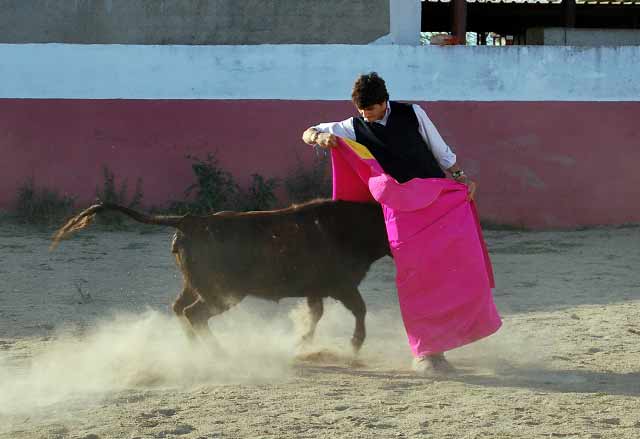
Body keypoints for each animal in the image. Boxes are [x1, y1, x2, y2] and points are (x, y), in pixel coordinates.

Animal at [51, 201, 390, 352]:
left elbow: (315, 314)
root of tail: (190, 221)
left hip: (194, 285)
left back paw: (196, 349)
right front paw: (355, 345)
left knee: (180, 309)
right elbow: (360, 309)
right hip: (223, 292)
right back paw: (218, 352)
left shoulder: (315, 288)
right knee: (194, 314)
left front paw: (302, 343)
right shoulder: (342, 285)